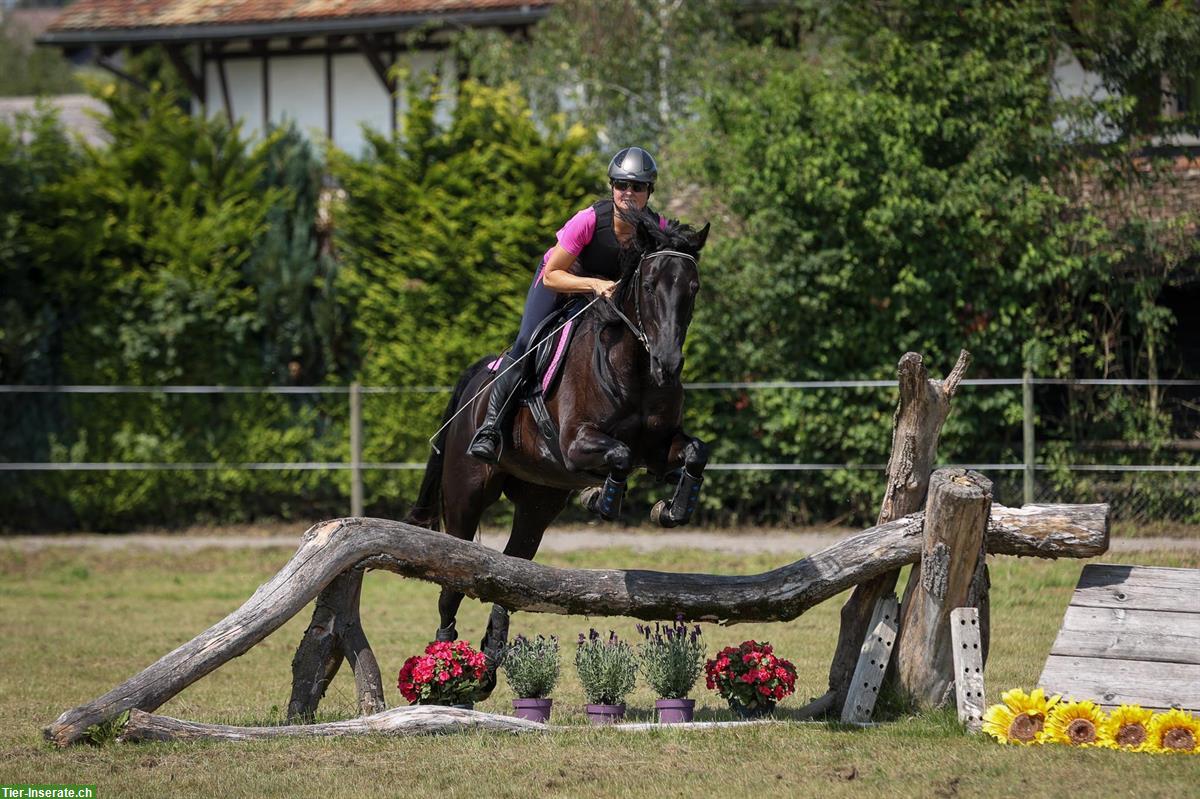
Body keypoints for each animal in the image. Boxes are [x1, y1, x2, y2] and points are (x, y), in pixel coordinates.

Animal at [408, 208, 705, 695]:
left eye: (692, 287)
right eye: (648, 285)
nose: (668, 366)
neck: (635, 366)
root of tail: (477, 379)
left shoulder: (658, 450)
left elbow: (694, 452)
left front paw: (670, 510)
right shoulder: (573, 445)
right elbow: (619, 455)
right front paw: (601, 499)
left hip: (538, 501)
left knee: (512, 571)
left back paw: (491, 658)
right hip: (466, 493)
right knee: (454, 576)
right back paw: (447, 658)